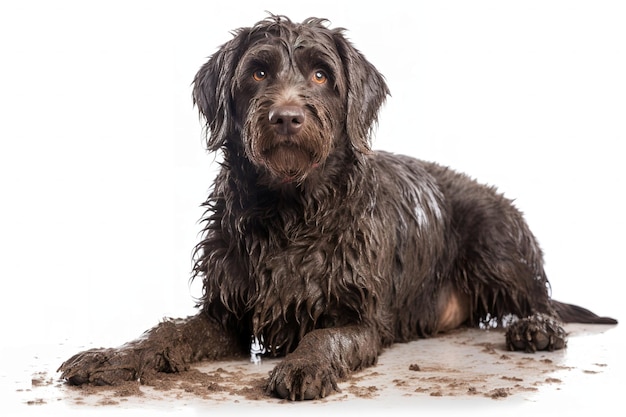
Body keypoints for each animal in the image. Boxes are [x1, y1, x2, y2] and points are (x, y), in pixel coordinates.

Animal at [58, 15, 616, 400]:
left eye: (322, 76)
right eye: (258, 72)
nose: (286, 117)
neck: (289, 212)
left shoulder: (361, 320)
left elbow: (326, 337)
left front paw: (304, 364)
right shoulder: (227, 317)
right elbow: (166, 333)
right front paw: (112, 356)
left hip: (496, 244)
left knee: (541, 299)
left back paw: (538, 328)